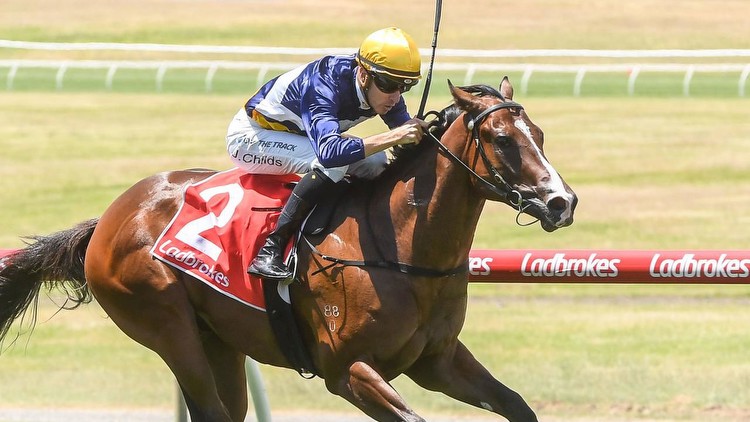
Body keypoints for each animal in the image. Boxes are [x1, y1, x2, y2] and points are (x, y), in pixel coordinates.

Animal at [0, 79, 580, 422]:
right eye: (503, 140)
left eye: (540, 133)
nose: (562, 202)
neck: (404, 246)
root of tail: (110, 217)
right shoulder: (346, 370)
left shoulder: (436, 360)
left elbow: (517, 405)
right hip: (166, 324)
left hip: (219, 340)